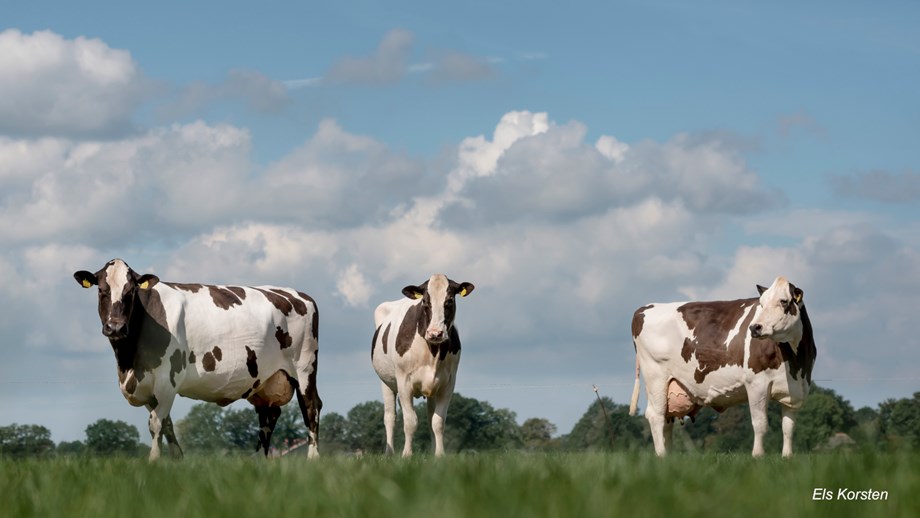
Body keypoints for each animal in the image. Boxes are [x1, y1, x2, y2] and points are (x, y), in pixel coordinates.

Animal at [73, 260, 322, 464]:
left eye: (131, 291)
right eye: (101, 290)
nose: (115, 327)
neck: (128, 363)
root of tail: (300, 295)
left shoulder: (167, 380)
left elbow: (156, 423)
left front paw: (154, 461)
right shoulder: (149, 388)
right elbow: (167, 424)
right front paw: (177, 459)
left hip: (304, 368)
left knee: (311, 407)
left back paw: (313, 458)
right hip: (264, 381)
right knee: (268, 416)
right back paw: (259, 461)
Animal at [370, 274, 474, 458]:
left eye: (449, 300)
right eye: (425, 301)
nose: (435, 333)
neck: (432, 351)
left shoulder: (448, 384)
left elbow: (437, 421)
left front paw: (439, 455)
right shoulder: (404, 382)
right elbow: (410, 421)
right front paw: (406, 455)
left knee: (429, 415)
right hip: (387, 383)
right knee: (390, 417)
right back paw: (389, 454)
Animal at [628, 278, 816, 458]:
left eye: (783, 301)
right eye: (761, 303)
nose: (755, 327)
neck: (795, 361)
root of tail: (645, 308)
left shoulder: (796, 390)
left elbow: (788, 428)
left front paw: (787, 457)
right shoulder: (756, 384)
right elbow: (760, 424)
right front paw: (758, 456)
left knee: (667, 421)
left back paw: (667, 457)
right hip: (655, 377)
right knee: (656, 416)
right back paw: (661, 456)